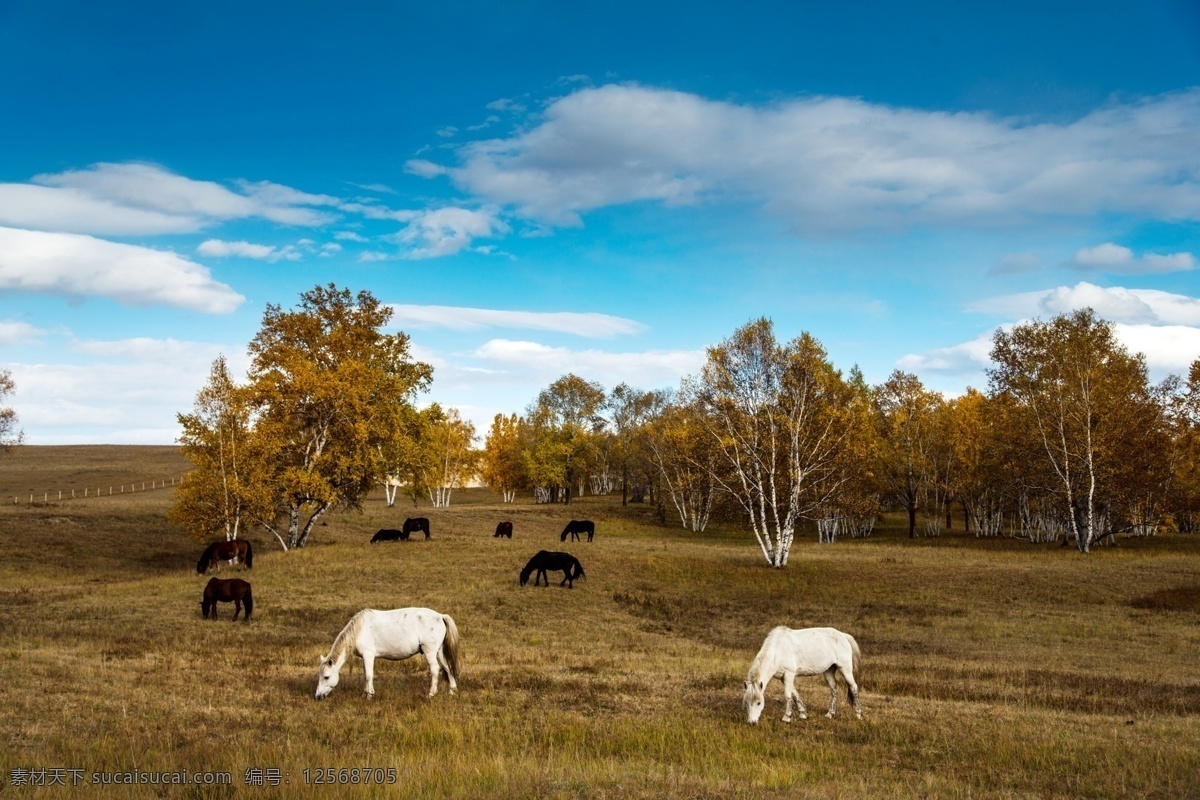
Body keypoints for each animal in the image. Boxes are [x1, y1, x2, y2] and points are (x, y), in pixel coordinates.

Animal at [316, 606, 460, 700]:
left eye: (326, 677)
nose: (318, 696)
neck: (359, 630)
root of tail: (440, 616)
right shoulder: (365, 658)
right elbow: (365, 675)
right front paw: (365, 693)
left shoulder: (369, 656)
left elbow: (369, 676)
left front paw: (369, 695)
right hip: (439, 652)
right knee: (447, 667)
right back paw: (452, 691)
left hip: (430, 651)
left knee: (435, 670)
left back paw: (431, 694)